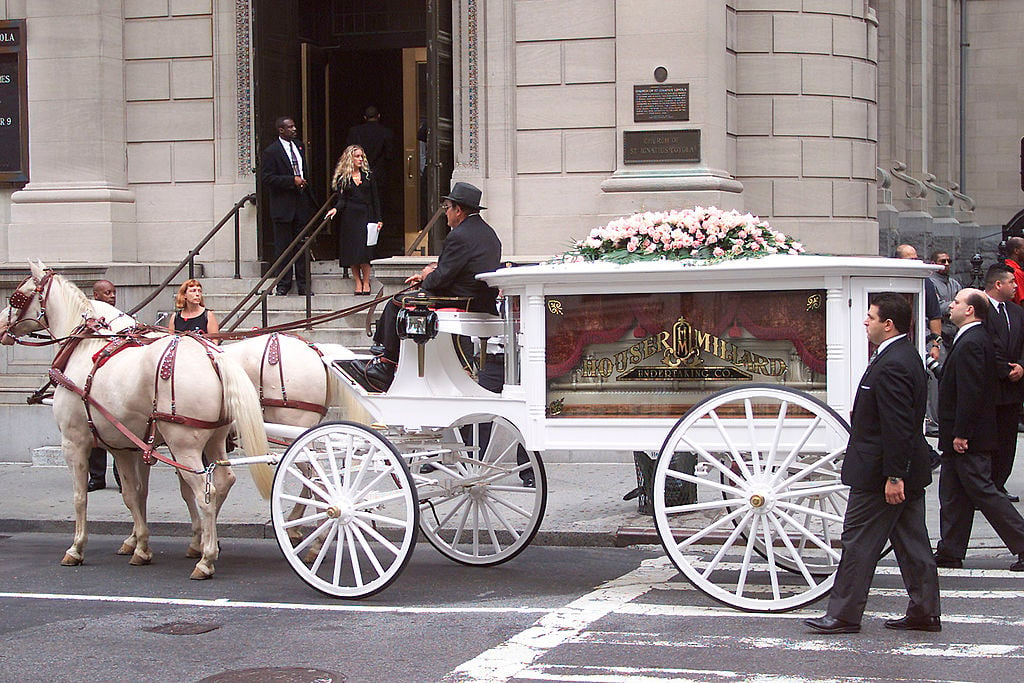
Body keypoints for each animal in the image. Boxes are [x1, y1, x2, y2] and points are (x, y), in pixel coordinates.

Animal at [0, 264, 270, 581]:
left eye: (17, 296)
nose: (1, 325)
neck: (86, 348)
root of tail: (213, 356)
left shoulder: (74, 441)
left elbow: (80, 497)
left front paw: (76, 547)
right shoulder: (126, 446)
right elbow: (134, 494)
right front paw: (140, 546)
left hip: (184, 444)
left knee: (206, 492)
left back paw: (206, 558)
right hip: (213, 440)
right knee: (222, 481)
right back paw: (204, 544)